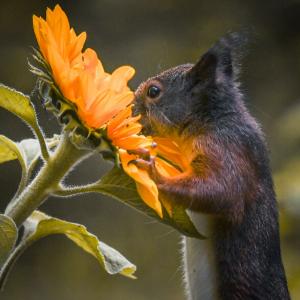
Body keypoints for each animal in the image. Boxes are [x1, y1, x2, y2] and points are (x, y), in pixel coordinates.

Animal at [133, 34, 290, 300]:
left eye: (154, 91)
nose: (130, 109)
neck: (211, 118)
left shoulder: (226, 148)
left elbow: (223, 191)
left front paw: (155, 174)